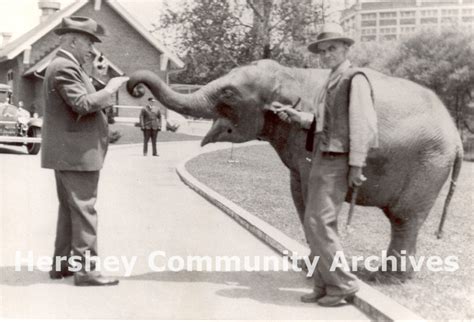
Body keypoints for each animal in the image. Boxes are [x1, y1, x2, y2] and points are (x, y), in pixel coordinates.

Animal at [127, 59, 462, 280]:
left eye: (228, 94)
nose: (135, 87)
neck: (290, 73)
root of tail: (457, 136)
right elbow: (299, 195)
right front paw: (309, 265)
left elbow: (315, 194)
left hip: (429, 165)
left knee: (405, 218)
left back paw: (389, 279)